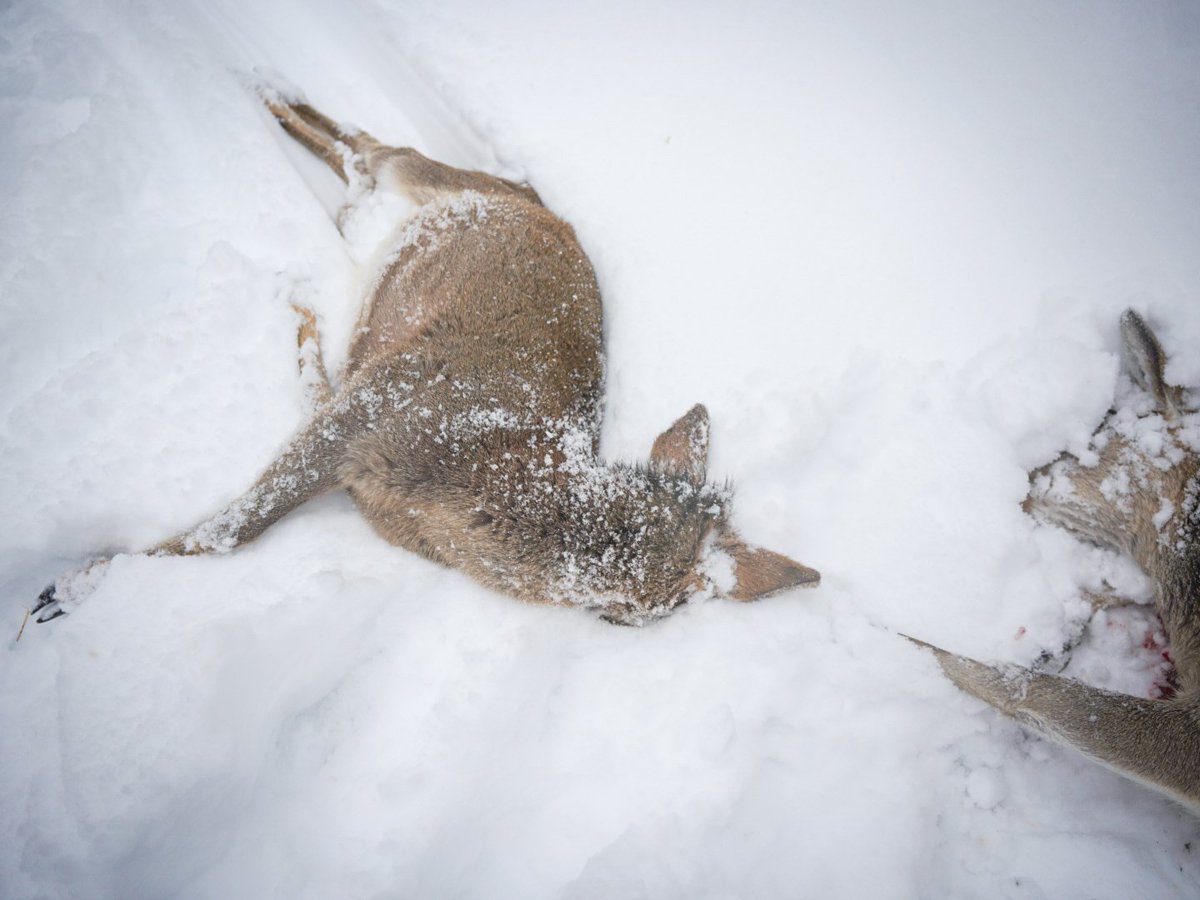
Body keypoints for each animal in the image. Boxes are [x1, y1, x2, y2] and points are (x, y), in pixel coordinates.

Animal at [30, 85, 819, 628]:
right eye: (673, 605)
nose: (628, 625)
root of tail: (540, 207)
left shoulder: (359, 428)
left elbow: (300, 411)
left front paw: (301, 318)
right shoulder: (371, 409)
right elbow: (230, 530)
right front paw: (66, 590)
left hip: (389, 214)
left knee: (357, 173)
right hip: (432, 180)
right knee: (376, 144)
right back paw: (266, 92)